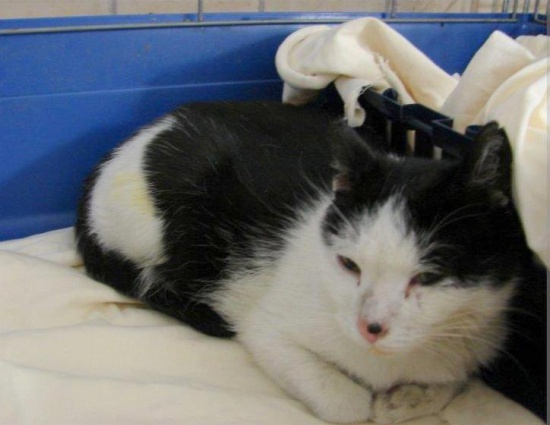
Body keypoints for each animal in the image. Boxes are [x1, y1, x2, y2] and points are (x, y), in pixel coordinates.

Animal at [75, 101, 528, 424]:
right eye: (349, 265)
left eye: (429, 276)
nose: (370, 327)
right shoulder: (266, 329)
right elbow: (346, 405)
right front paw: (371, 403)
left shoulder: (482, 333)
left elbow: (453, 376)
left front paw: (407, 398)